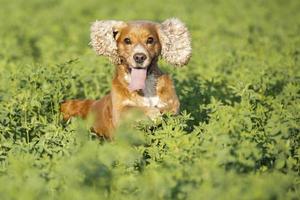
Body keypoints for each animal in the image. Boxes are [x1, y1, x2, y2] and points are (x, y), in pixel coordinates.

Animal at [60, 18, 192, 138]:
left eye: (150, 40)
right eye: (127, 40)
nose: (139, 57)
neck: (145, 88)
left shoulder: (173, 105)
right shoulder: (119, 113)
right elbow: (132, 109)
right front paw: (153, 113)